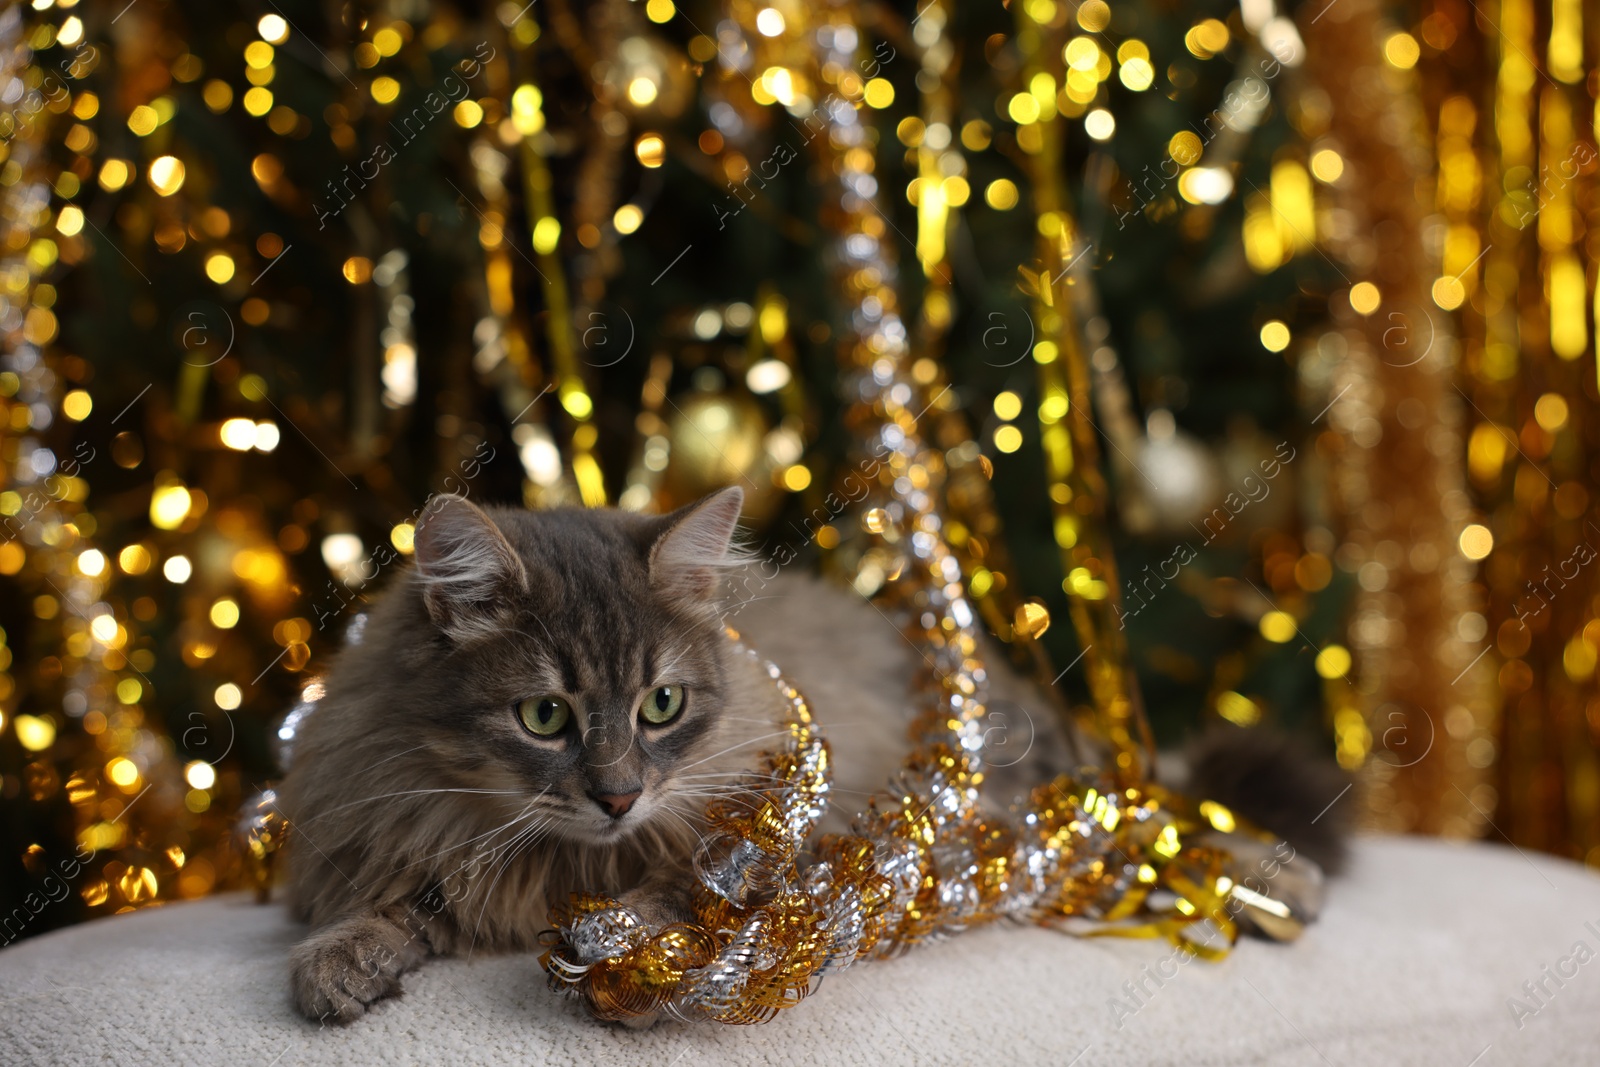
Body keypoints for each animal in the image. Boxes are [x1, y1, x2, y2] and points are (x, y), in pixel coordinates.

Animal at [281, 489, 1344, 1023]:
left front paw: (625, 944)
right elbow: (396, 902)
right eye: (545, 715)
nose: (620, 797)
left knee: (1144, 823)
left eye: (661, 705)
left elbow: (675, 892)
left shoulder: (777, 828)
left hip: (1012, 789)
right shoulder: (408, 827)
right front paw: (339, 962)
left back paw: (1275, 884)